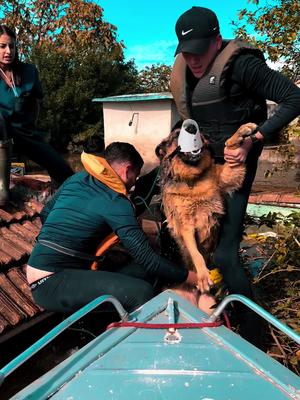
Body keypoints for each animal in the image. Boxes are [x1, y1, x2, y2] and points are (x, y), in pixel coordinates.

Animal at [155, 120, 258, 308]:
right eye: (176, 136)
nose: (191, 128)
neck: (194, 180)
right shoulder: (186, 226)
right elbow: (195, 253)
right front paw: (202, 274)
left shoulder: (229, 174)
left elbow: (229, 147)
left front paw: (242, 132)